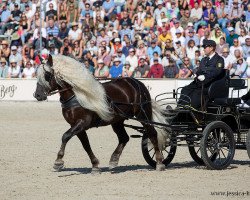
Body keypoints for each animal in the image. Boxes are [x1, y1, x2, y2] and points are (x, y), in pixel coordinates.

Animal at [33, 54, 170, 173]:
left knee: (152, 134)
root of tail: (137, 83)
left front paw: (58, 161)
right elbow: (86, 145)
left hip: (143, 114)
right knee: (124, 138)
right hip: (117, 120)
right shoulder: (77, 126)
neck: (77, 95)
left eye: (47, 74)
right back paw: (114, 160)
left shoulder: (82, 123)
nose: (37, 95)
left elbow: (65, 136)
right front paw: (95, 165)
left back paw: (159, 163)